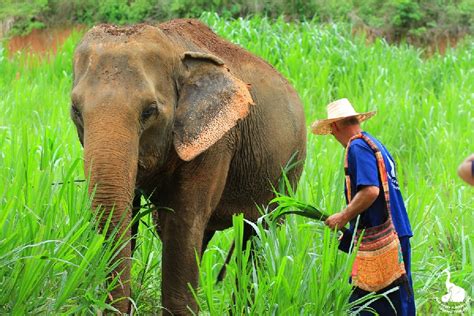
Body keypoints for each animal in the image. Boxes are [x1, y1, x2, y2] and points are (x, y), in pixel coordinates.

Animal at [71, 19, 308, 314]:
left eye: (149, 111)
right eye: (75, 110)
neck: (174, 48)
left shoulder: (216, 142)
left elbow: (184, 221)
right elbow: (131, 217)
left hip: (288, 171)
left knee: (257, 235)